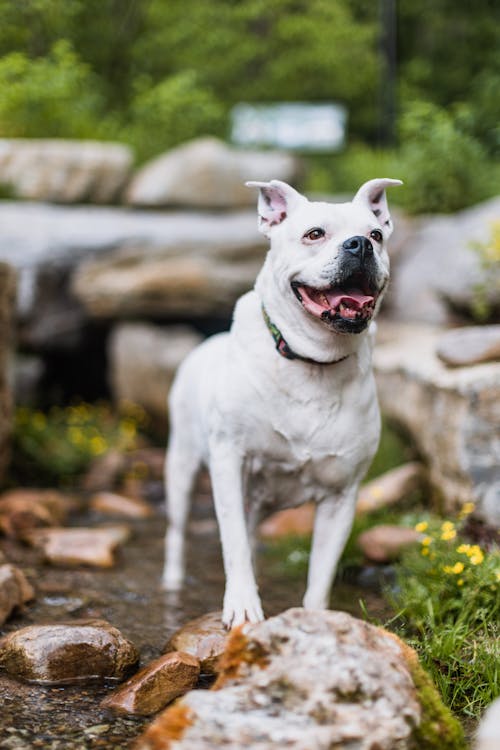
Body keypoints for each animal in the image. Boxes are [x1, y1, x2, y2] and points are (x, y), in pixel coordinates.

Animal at [163, 176, 402, 628]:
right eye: (314, 234)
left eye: (377, 235)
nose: (360, 245)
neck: (312, 362)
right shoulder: (228, 463)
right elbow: (234, 545)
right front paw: (242, 605)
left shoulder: (341, 497)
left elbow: (321, 572)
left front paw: (315, 621)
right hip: (181, 465)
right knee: (178, 531)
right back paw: (172, 581)